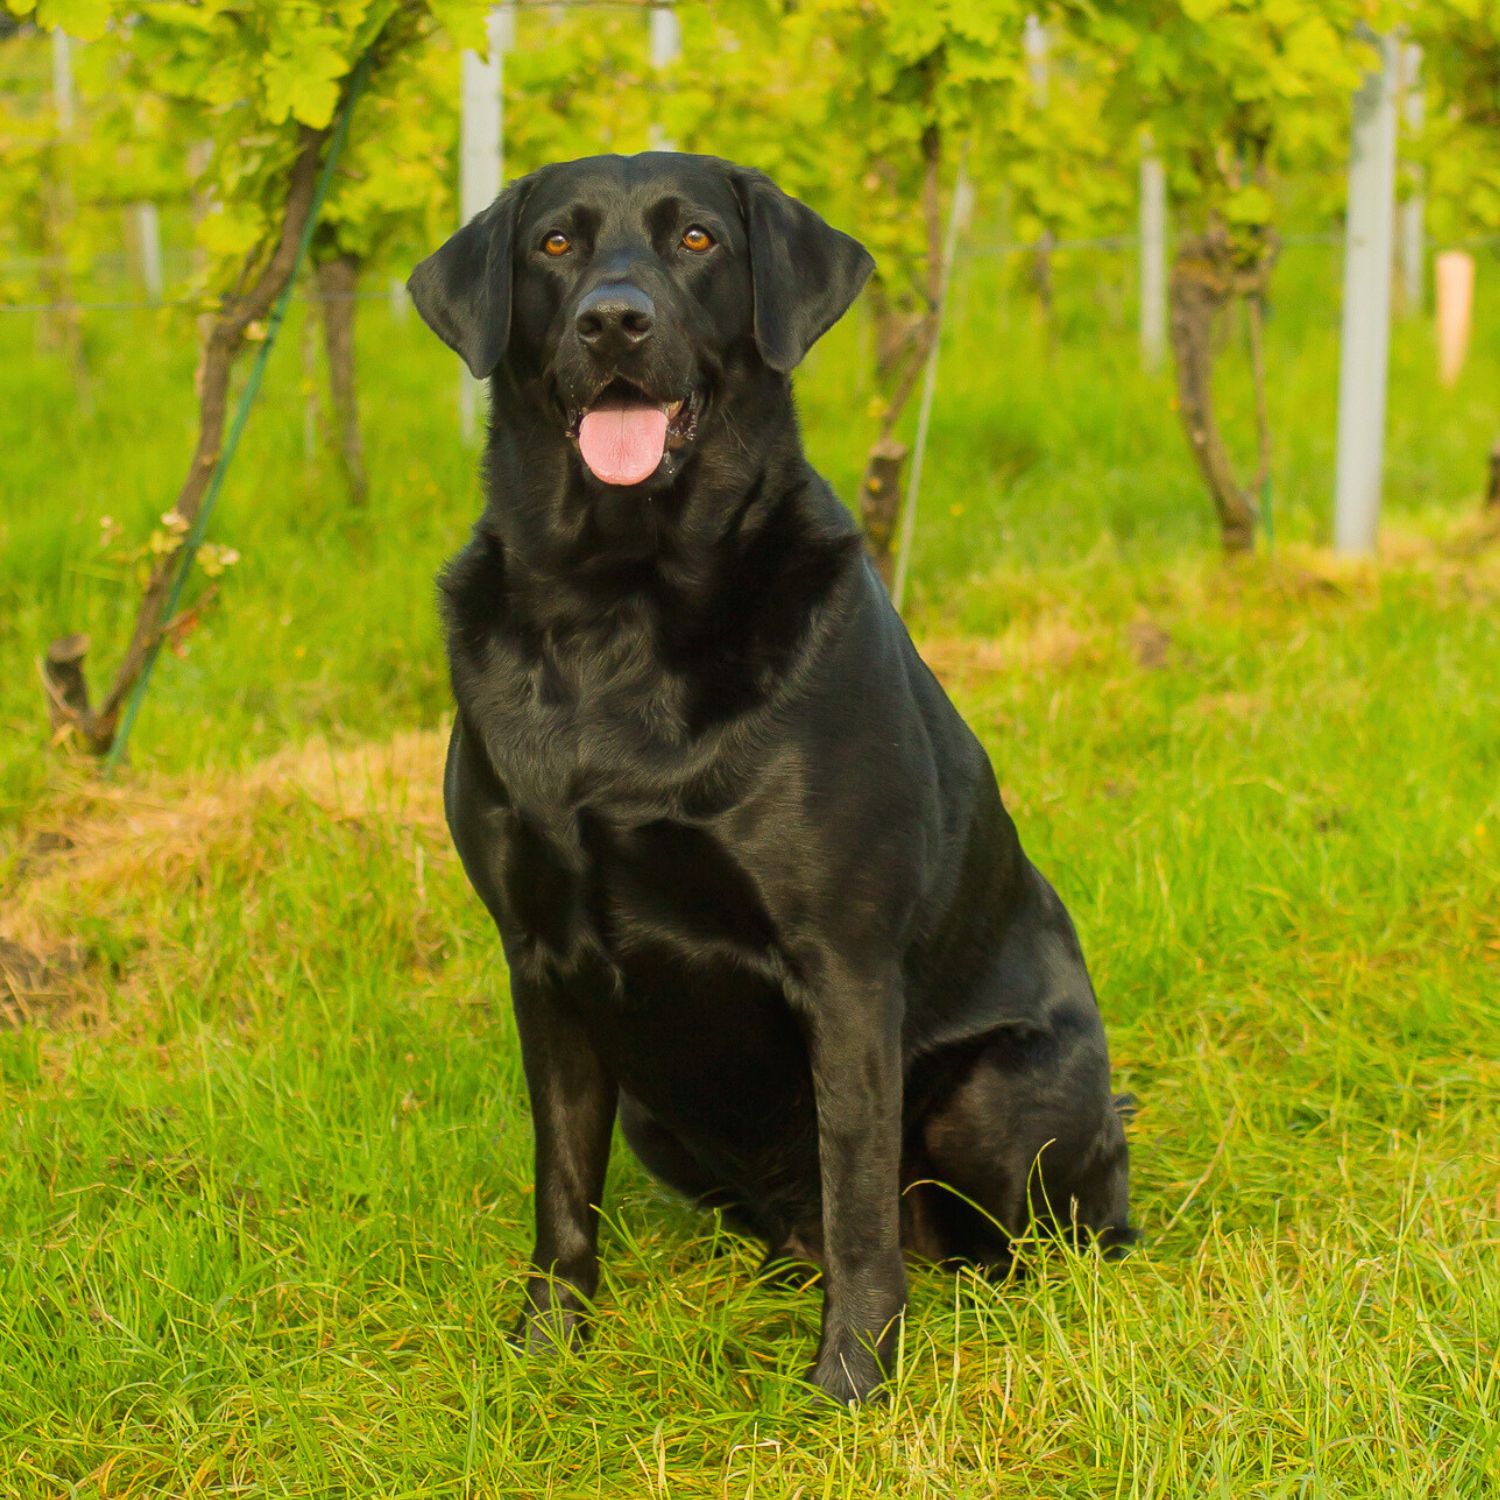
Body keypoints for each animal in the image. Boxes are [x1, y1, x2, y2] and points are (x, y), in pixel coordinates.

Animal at [405, 152, 1128, 1404]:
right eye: (555, 245)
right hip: (654, 1110)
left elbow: (857, 1196)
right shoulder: (540, 960)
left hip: (999, 1100)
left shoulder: (841, 962)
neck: (618, 606)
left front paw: (852, 1384)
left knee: (1036, 1229)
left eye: (697, 240)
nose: (614, 320)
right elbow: (561, 1187)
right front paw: (547, 1351)